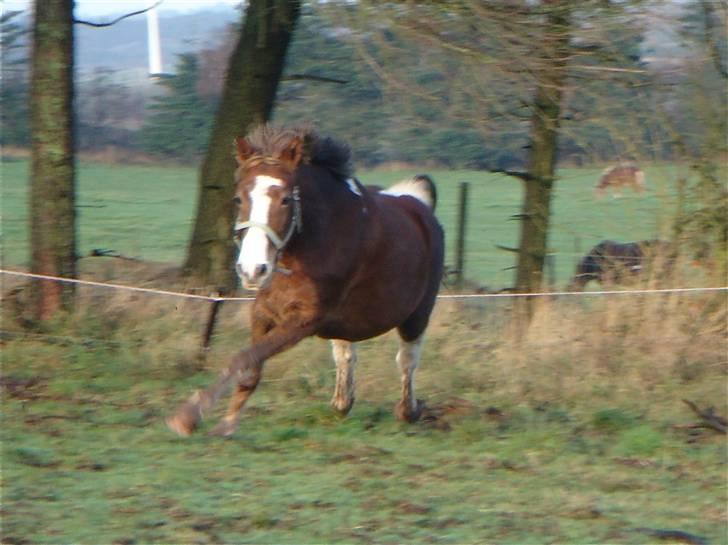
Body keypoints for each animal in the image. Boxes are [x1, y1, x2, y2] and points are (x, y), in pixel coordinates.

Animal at [169, 125, 444, 436]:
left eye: (285, 199)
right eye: (239, 198)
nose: (252, 270)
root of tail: (416, 202)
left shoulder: (304, 320)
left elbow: (246, 357)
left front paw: (190, 417)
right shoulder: (263, 312)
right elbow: (249, 365)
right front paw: (224, 423)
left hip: (417, 314)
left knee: (407, 360)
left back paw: (408, 410)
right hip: (347, 325)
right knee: (346, 356)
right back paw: (342, 404)